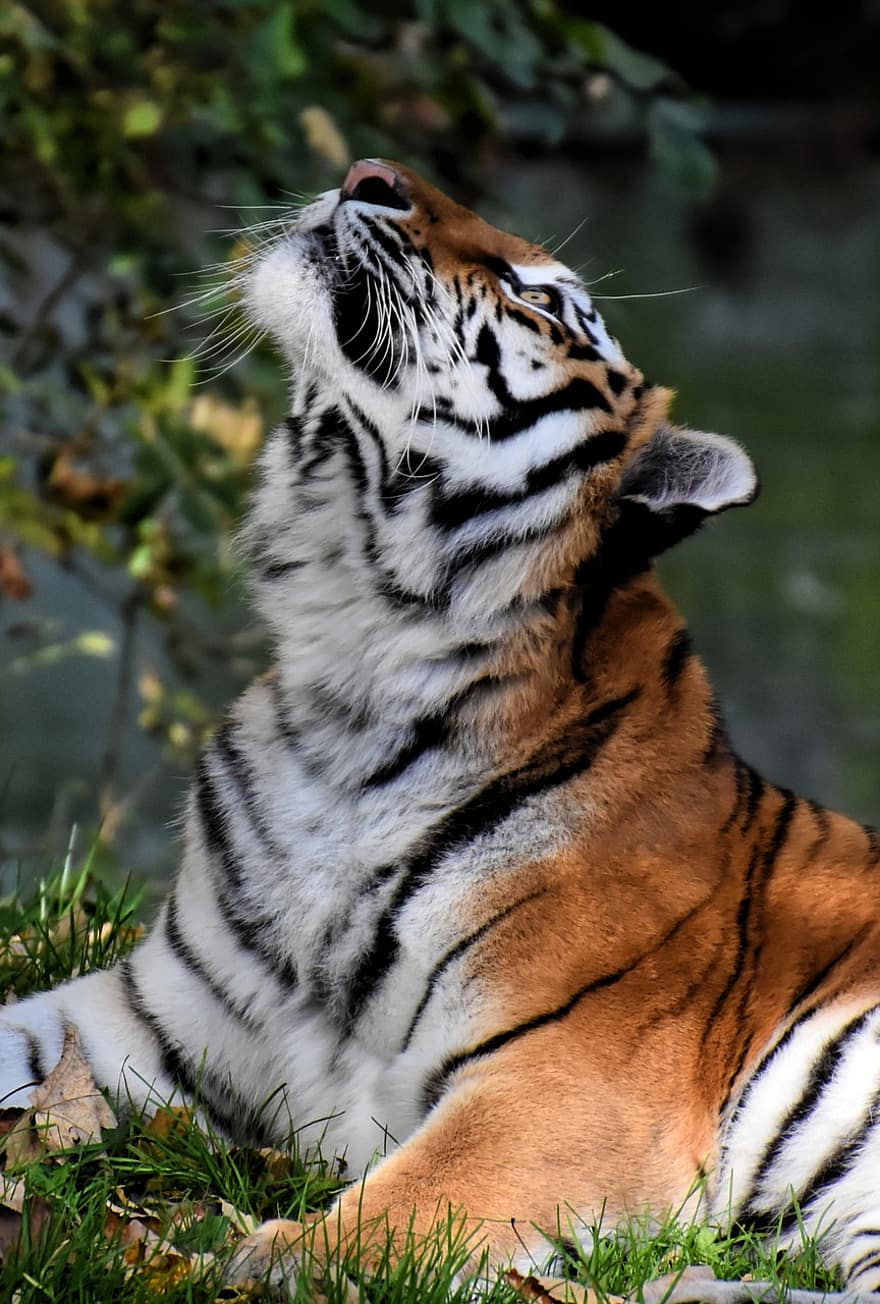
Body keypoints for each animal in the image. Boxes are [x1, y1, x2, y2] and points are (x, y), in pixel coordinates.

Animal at [1, 157, 880, 1288]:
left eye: (537, 298)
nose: (367, 173)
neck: (354, 672)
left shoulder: (565, 1081)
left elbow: (388, 1216)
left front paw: (252, 1260)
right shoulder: (154, 1017)